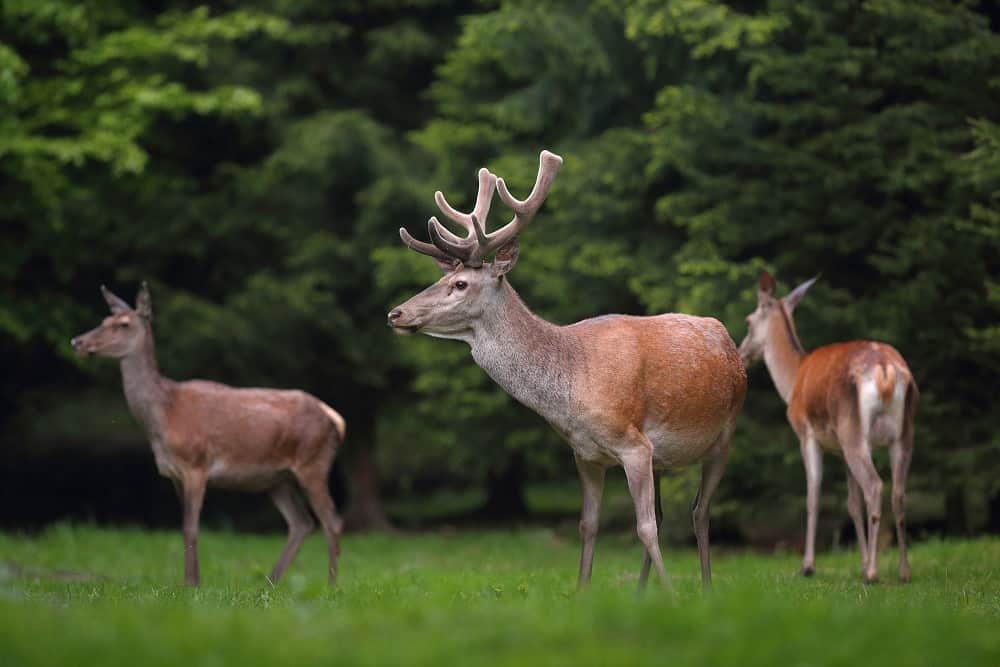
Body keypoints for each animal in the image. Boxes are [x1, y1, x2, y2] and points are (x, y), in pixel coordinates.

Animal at [70, 284, 344, 588]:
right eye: (104, 319)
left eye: (123, 324)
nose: (77, 342)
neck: (164, 416)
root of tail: (335, 418)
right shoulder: (173, 473)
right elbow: (184, 527)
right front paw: (190, 582)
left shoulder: (196, 464)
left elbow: (191, 528)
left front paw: (192, 585)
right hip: (276, 479)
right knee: (302, 522)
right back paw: (269, 583)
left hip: (313, 463)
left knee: (332, 522)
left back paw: (331, 585)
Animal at [386, 150, 748, 588]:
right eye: (442, 278)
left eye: (460, 284)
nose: (395, 313)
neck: (571, 390)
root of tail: (727, 339)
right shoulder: (585, 454)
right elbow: (588, 525)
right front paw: (582, 591)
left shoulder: (633, 444)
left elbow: (644, 527)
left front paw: (671, 593)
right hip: (664, 456)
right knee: (667, 514)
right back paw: (642, 592)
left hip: (725, 433)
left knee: (699, 512)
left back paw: (705, 588)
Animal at [740, 272, 916, 584]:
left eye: (749, 321)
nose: (741, 353)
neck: (793, 380)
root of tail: (885, 369)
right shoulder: (840, 449)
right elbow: (851, 504)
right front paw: (860, 562)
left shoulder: (806, 434)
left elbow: (813, 496)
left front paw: (808, 566)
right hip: (901, 432)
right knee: (898, 492)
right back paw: (903, 572)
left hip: (853, 431)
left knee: (875, 486)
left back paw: (873, 574)